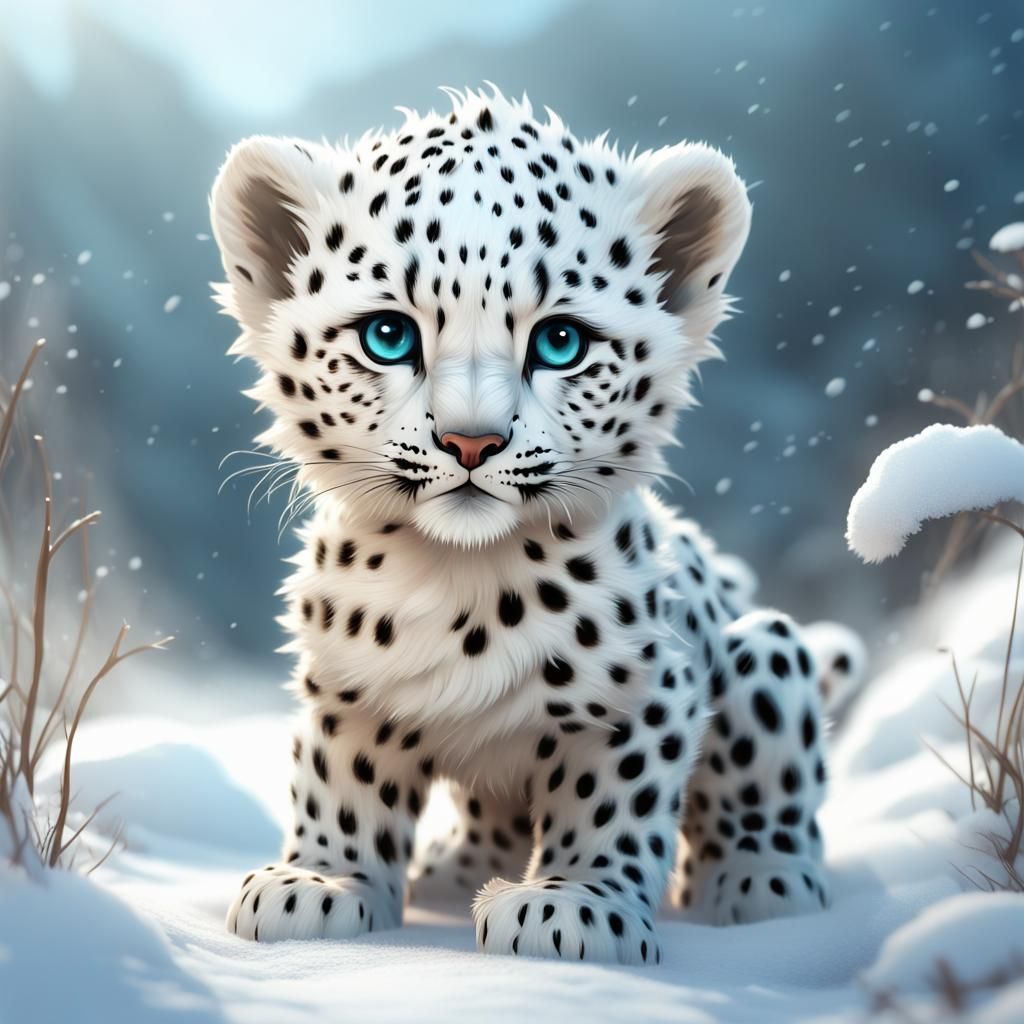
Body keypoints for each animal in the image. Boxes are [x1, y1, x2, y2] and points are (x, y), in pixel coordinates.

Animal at [210, 85, 863, 964]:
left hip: (766, 653)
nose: (471, 441)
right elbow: (345, 783)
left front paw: (574, 908)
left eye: (560, 342)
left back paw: (763, 879)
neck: (463, 589)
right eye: (388, 335)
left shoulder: (642, 695)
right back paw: (451, 876)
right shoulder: (346, 690)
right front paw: (321, 883)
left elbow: (610, 801)